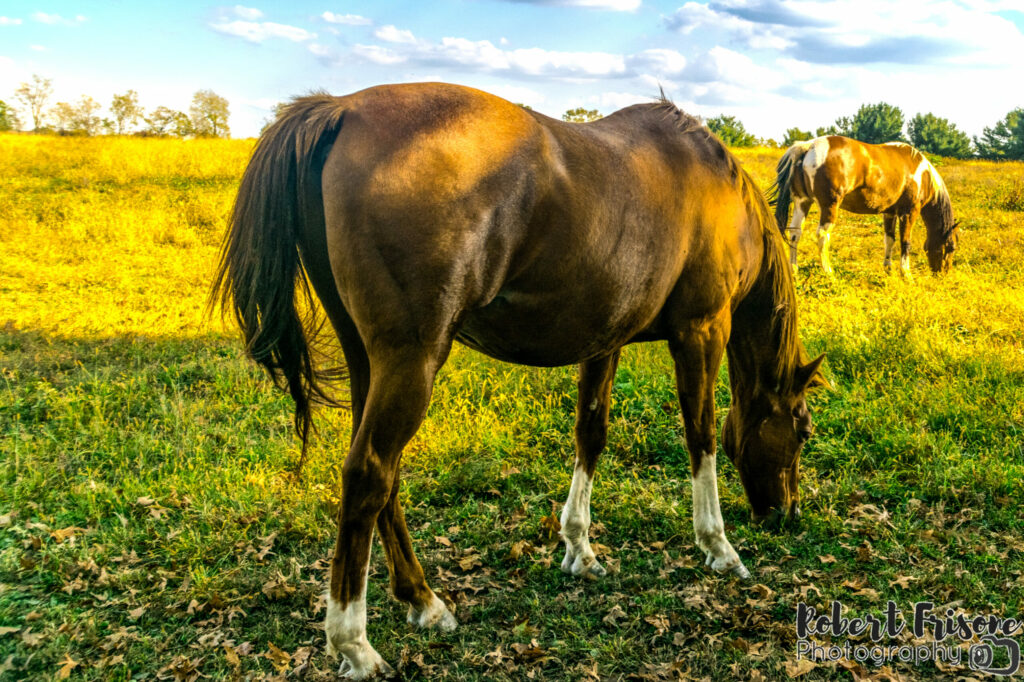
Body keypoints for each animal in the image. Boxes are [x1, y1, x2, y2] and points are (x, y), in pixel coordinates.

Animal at [214, 82, 823, 675]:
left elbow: (590, 435)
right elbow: (701, 438)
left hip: (369, 360)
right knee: (368, 474)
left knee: (382, 481)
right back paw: (355, 643)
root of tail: (340, 110)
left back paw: (423, 601)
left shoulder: (605, 339)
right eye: (803, 429)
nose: (788, 514)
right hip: (412, 360)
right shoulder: (701, 331)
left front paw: (579, 548)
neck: (711, 183)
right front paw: (718, 546)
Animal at [774, 135, 958, 276]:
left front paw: (888, 269)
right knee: (822, 236)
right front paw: (906, 274)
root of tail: (809, 146)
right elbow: (906, 242)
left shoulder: (889, 213)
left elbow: (889, 240)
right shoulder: (909, 212)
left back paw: (794, 269)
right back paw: (829, 273)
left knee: (795, 234)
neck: (923, 175)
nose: (943, 274)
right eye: (950, 248)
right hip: (829, 206)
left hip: (803, 202)